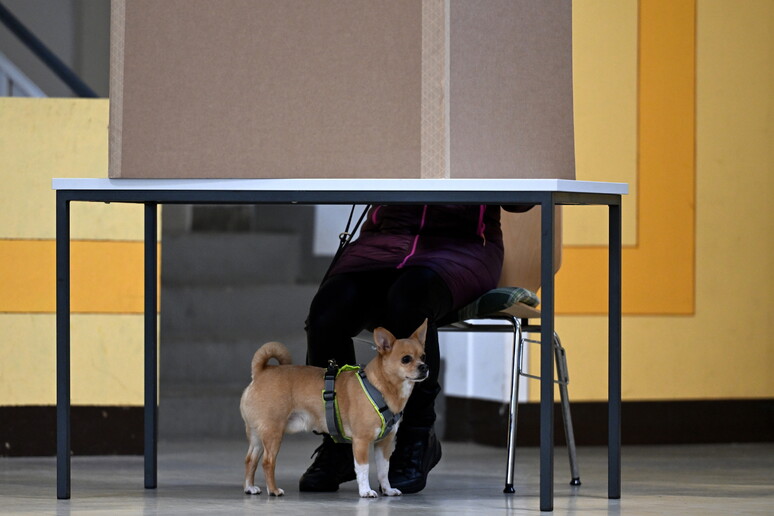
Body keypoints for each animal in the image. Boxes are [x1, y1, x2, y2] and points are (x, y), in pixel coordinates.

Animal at [239, 318, 430, 496]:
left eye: (423, 356)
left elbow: (384, 471)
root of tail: (261, 371)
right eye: (406, 359)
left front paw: (388, 490)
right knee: (267, 462)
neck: (379, 387)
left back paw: (249, 487)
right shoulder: (361, 442)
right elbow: (363, 469)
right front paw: (366, 491)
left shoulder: (384, 444)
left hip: (257, 435)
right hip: (273, 433)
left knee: (250, 460)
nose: (425, 367)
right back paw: (273, 490)